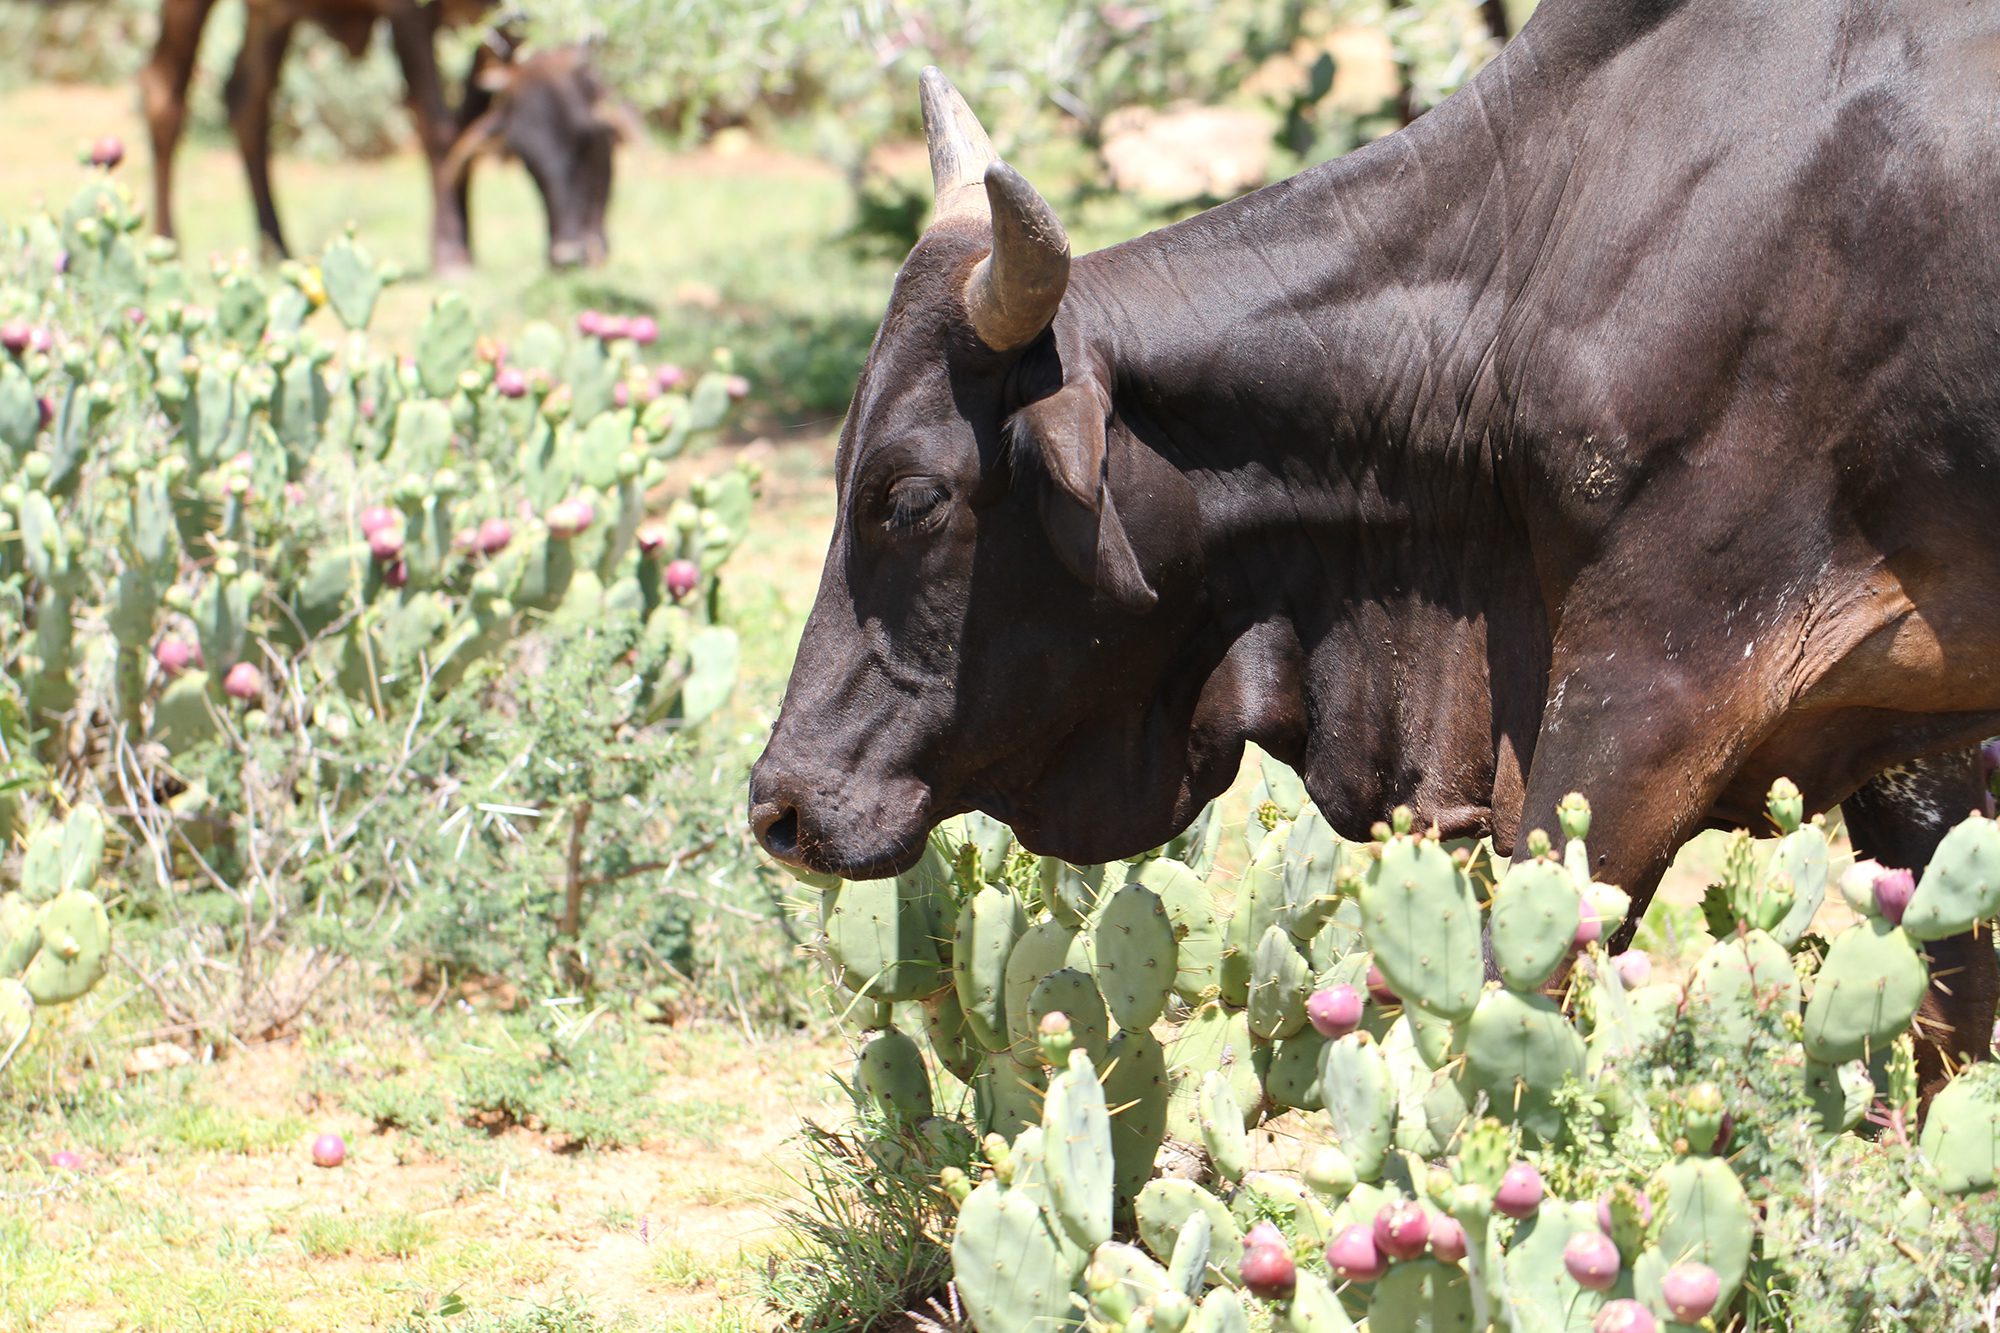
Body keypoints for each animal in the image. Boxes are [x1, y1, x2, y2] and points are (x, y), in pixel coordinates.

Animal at [140, 0, 628, 268]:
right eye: (528, 154)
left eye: (592, 140)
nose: (572, 254)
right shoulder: (409, 14)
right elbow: (438, 128)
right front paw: (450, 252)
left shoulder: (499, 24)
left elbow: (466, 124)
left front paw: (462, 238)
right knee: (164, 96)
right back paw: (165, 241)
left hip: (272, 14)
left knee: (248, 100)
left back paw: (275, 245)